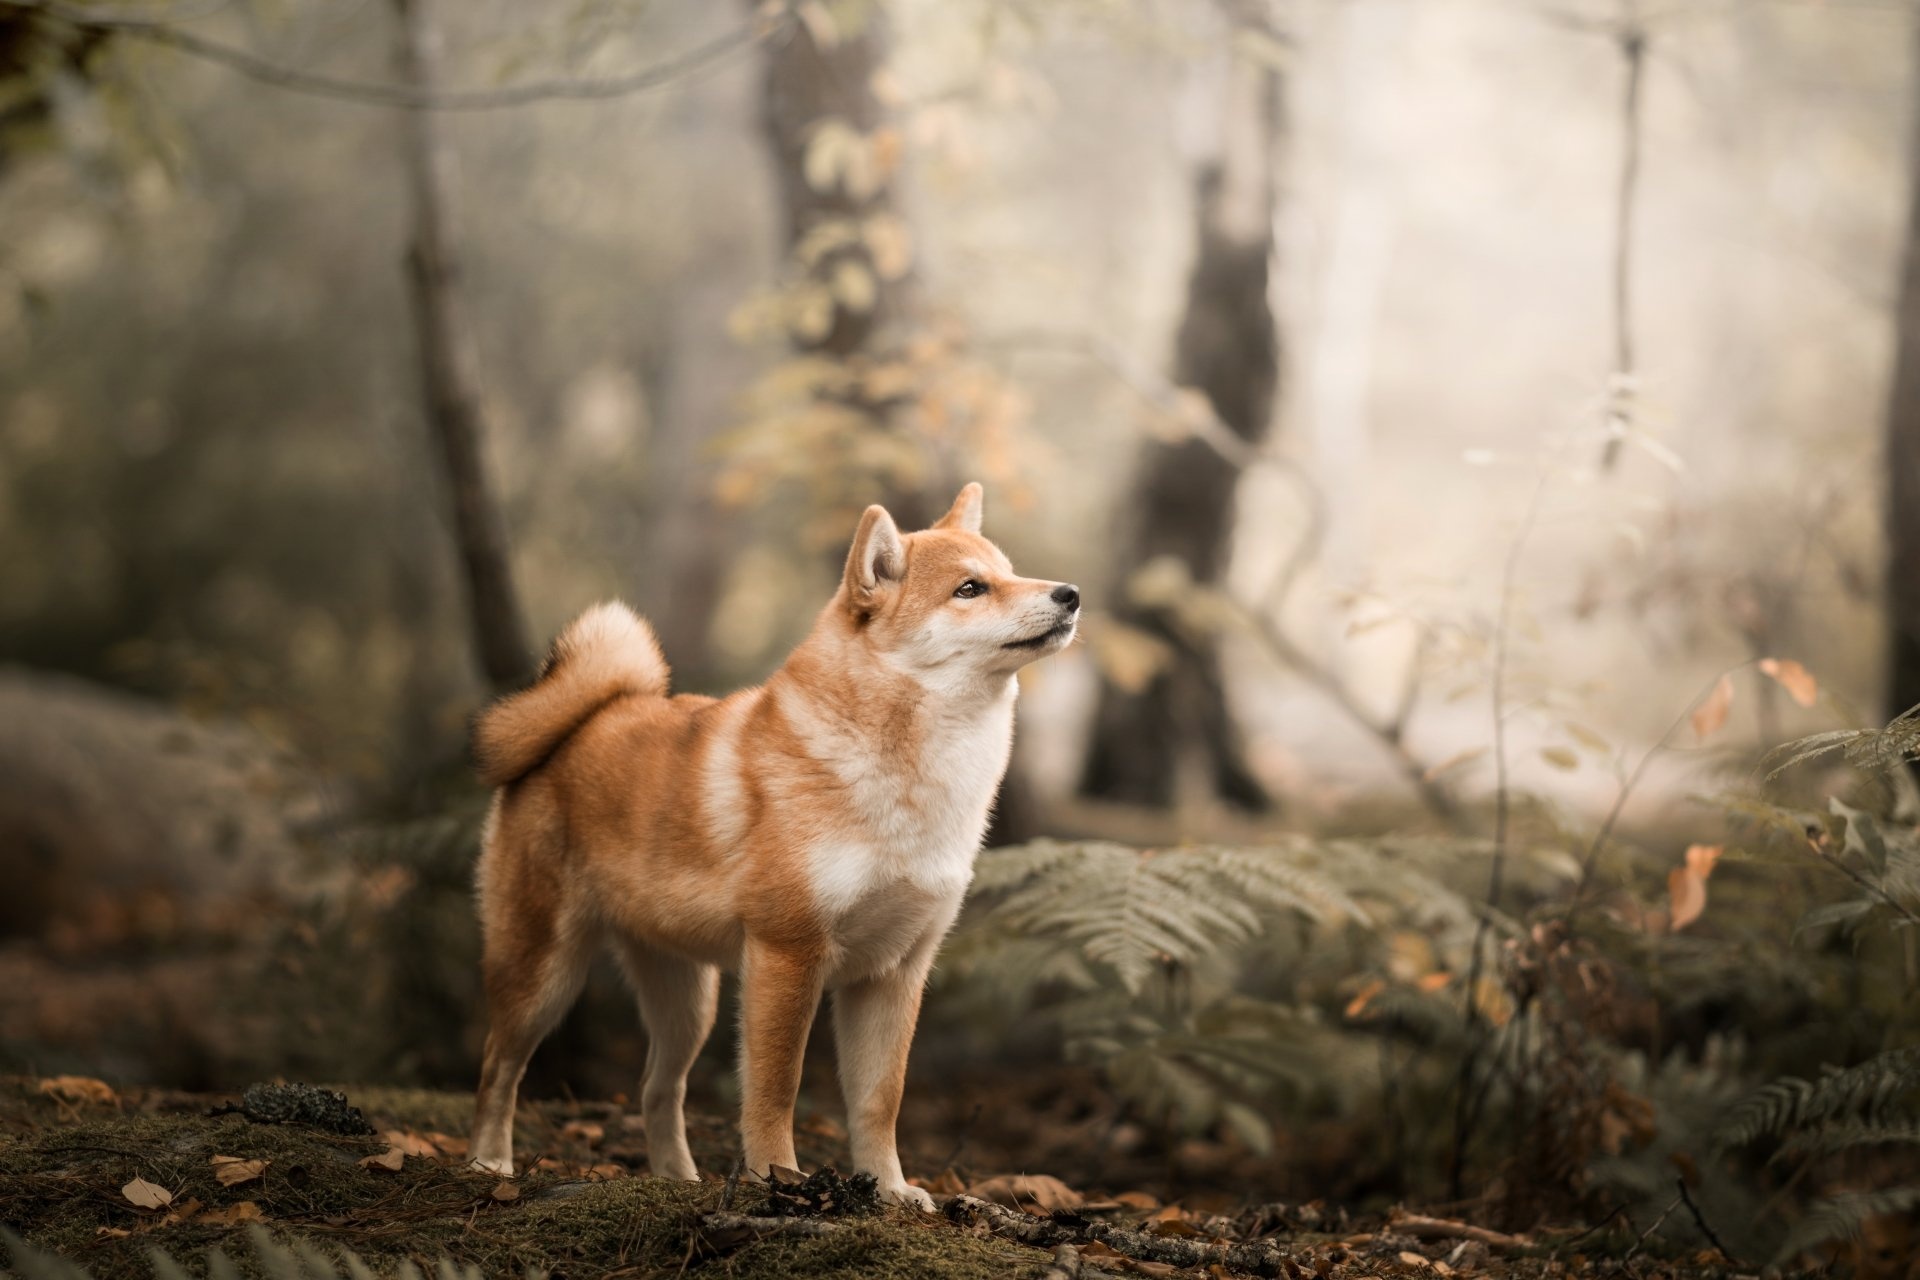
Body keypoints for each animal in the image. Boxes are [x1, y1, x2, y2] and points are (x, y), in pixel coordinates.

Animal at [466, 485, 1082, 1205]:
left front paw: (890, 1190)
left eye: (1009, 572)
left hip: (688, 1001)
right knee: (498, 1067)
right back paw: (489, 1164)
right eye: (969, 588)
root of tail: (584, 721)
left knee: (657, 1088)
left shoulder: (894, 973)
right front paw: (779, 1182)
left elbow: (880, 1100)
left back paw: (678, 1179)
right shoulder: (787, 952)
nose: (1070, 593)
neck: (910, 780)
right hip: (542, 975)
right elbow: (775, 1088)